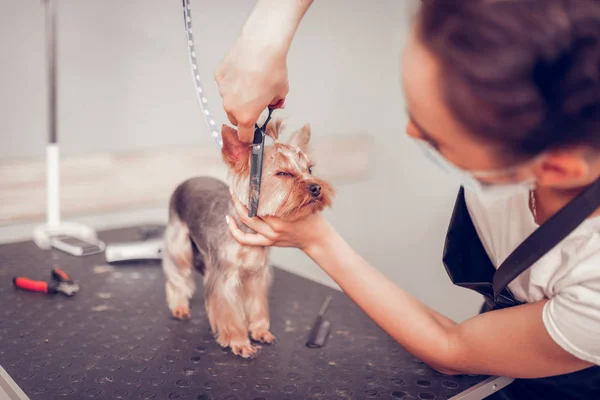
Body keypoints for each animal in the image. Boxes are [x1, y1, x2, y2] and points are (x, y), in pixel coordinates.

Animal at [162, 118, 336, 356]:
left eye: (309, 169)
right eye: (283, 174)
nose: (316, 187)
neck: (248, 231)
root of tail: (188, 181)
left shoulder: (256, 275)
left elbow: (256, 306)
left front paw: (260, 332)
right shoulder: (226, 278)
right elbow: (231, 312)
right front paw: (239, 342)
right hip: (179, 243)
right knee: (178, 275)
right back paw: (179, 306)